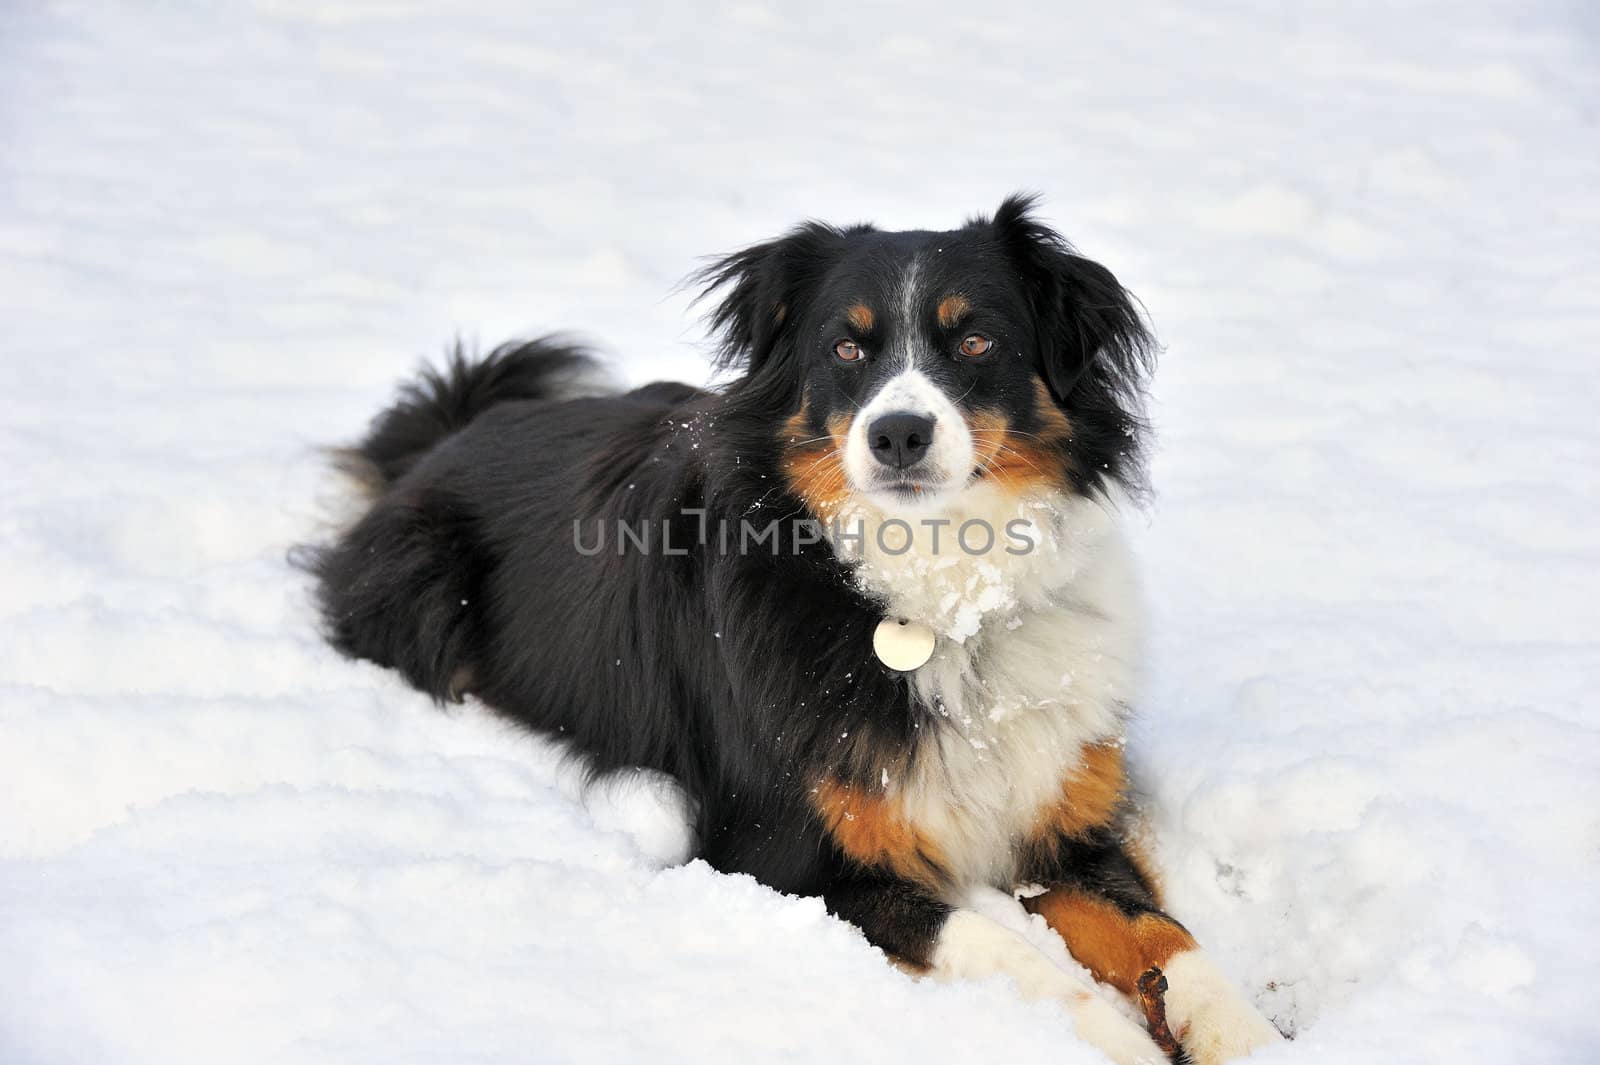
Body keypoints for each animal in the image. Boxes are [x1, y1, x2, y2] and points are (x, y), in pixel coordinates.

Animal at [297, 195, 1273, 1055]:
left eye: (976, 339)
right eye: (846, 345)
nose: (898, 433)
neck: (939, 594)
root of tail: (452, 431)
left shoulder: (1066, 823)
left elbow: (1166, 936)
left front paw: (1244, 1032)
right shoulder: (786, 857)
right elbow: (1000, 948)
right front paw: (1116, 1035)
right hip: (426, 589)